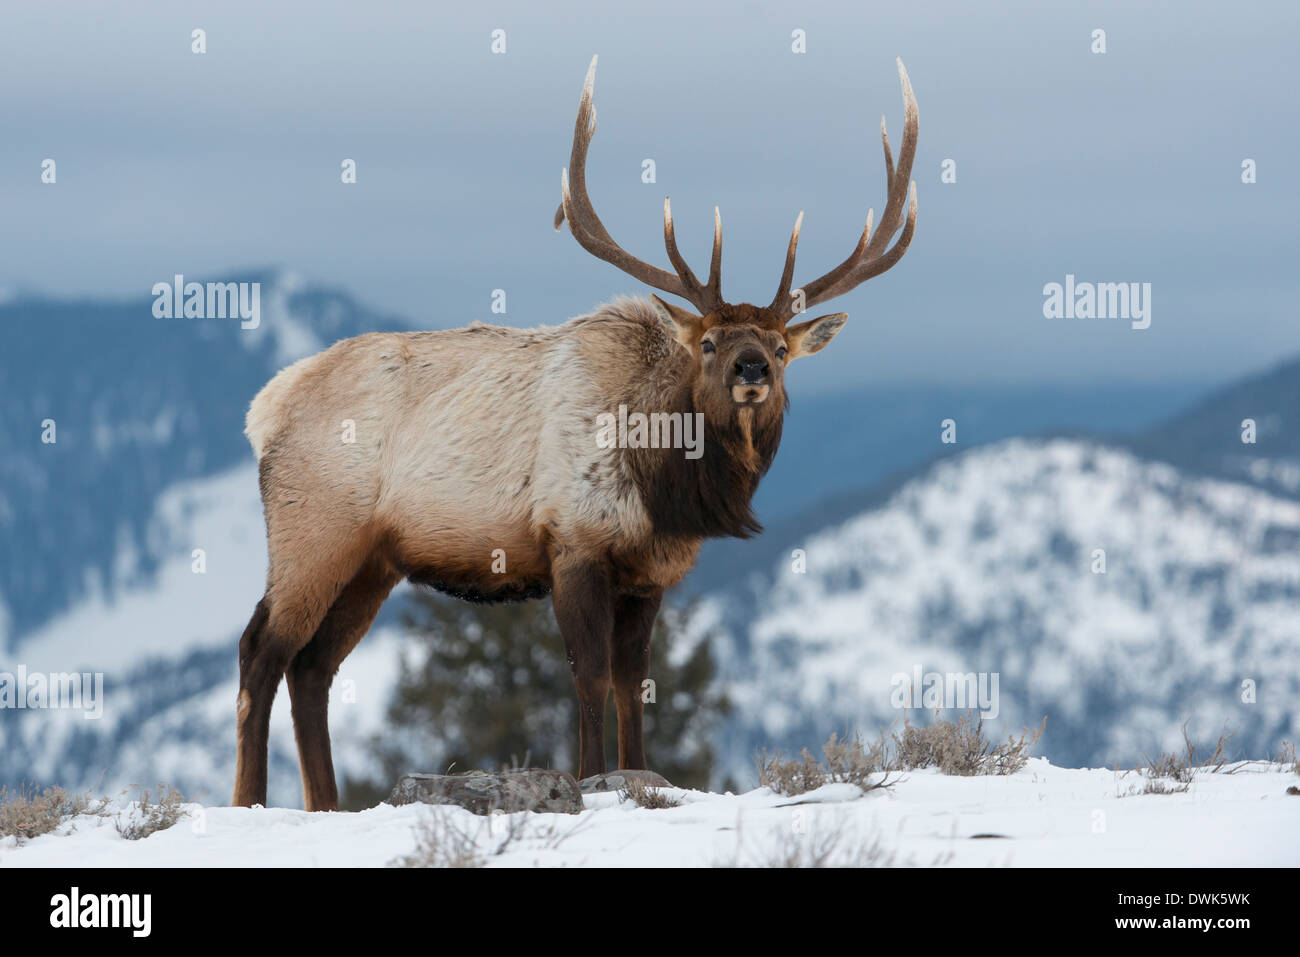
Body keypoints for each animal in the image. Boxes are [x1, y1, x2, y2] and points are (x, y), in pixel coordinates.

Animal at [233, 55, 917, 810]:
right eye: (708, 342)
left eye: (781, 347)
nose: (752, 368)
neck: (666, 489)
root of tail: (264, 407)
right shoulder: (573, 539)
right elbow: (588, 674)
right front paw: (591, 777)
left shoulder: (651, 573)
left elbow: (633, 683)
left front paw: (637, 771)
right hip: (314, 527)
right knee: (262, 648)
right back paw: (249, 799)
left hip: (374, 559)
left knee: (313, 667)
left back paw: (325, 803)